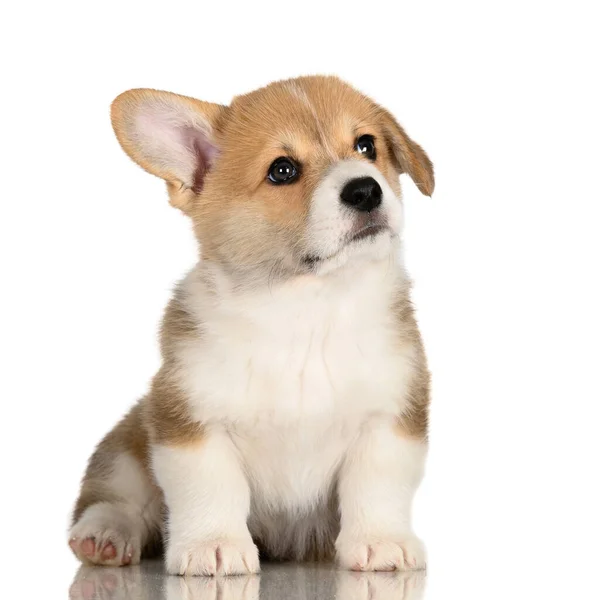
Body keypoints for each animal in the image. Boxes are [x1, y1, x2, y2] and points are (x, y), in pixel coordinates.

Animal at [68, 76, 434, 576]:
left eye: (366, 145)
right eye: (282, 170)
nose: (365, 190)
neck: (307, 307)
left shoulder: (389, 417)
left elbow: (377, 484)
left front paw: (380, 541)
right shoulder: (190, 420)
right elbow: (211, 486)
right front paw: (214, 545)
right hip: (128, 438)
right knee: (119, 494)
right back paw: (104, 533)